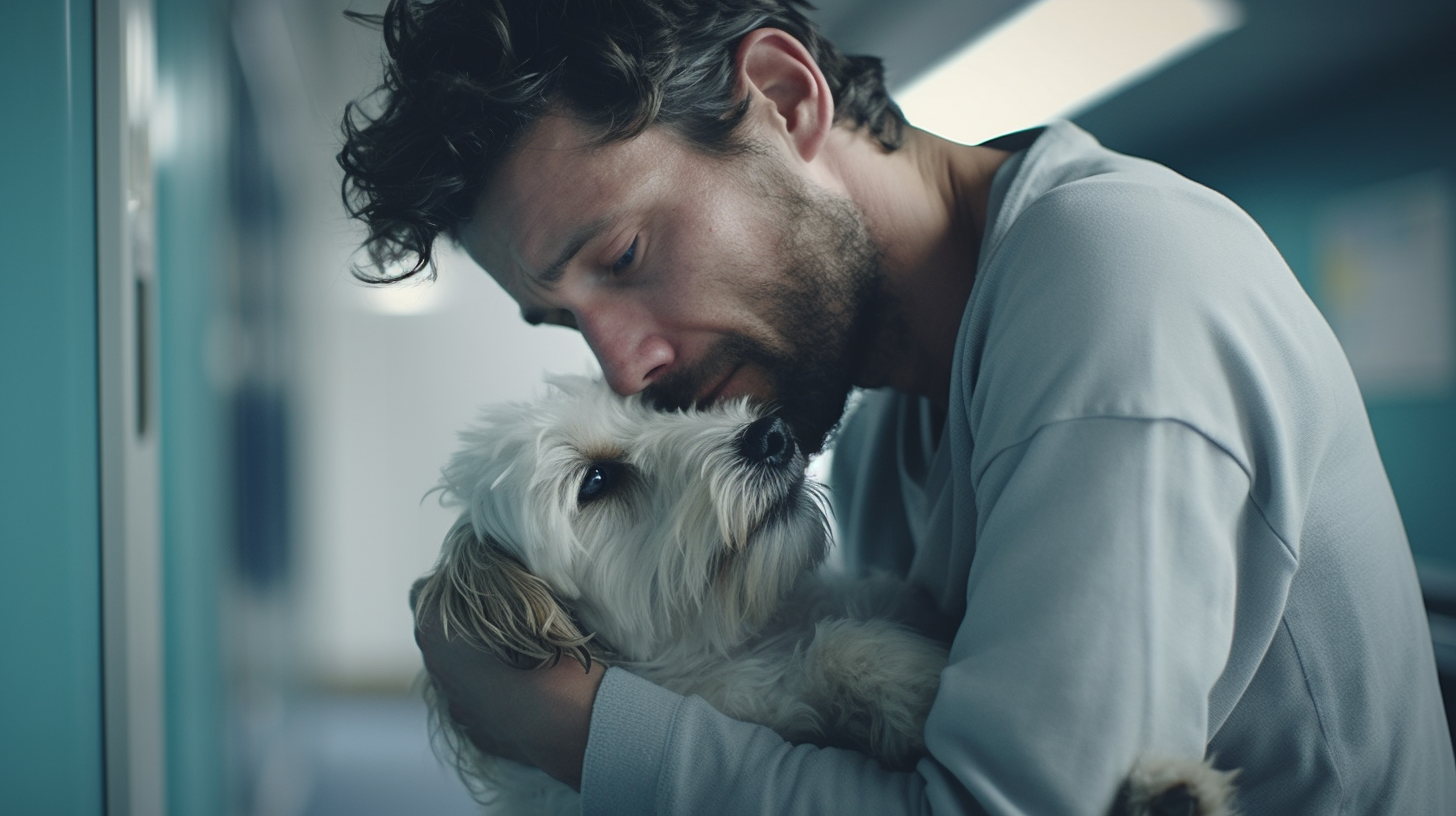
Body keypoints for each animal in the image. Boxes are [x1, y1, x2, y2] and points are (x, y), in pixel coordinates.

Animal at [410, 378, 1240, 816]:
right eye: (597, 482)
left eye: (655, 406)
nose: (770, 436)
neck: (750, 631)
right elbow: (841, 649)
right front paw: (920, 686)